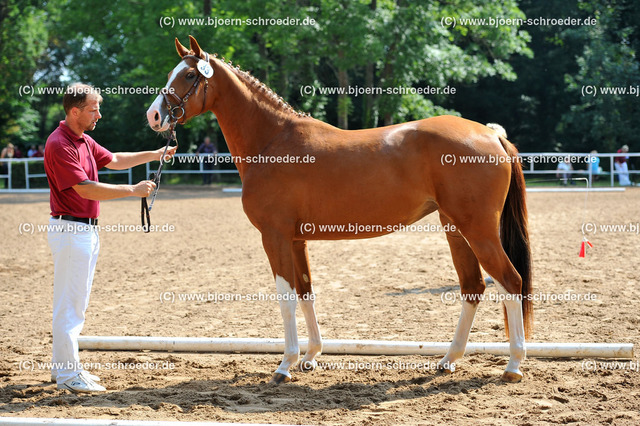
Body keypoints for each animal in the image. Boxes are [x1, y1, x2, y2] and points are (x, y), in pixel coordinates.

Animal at [148, 35, 532, 382]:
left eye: (189, 75)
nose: (154, 115)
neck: (272, 140)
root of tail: (492, 135)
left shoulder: (274, 236)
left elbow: (286, 296)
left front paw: (285, 364)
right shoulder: (296, 240)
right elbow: (305, 291)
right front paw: (309, 357)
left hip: (478, 231)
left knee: (510, 281)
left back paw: (513, 365)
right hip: (455, 229)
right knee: (473, 288)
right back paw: (448, 360)